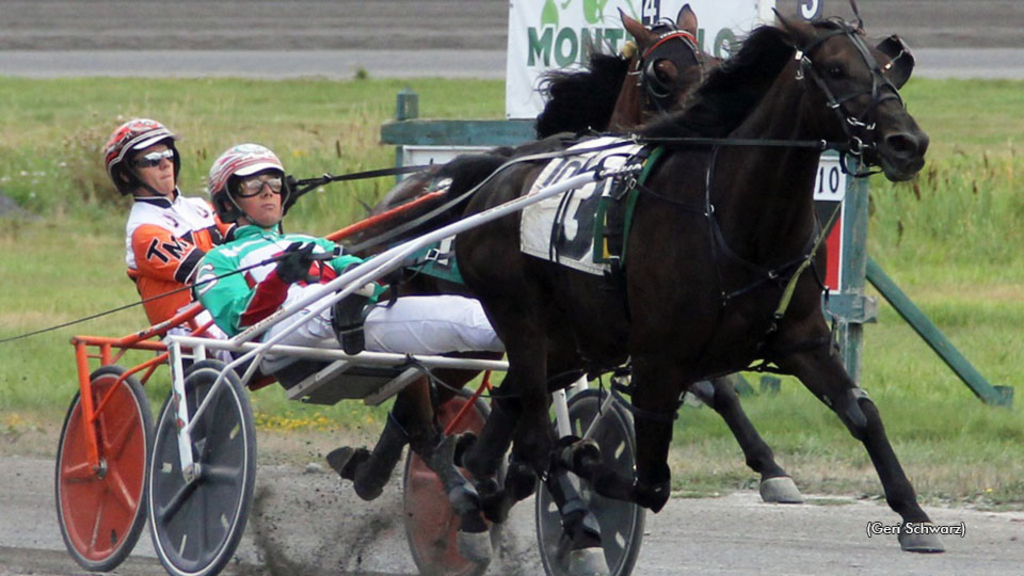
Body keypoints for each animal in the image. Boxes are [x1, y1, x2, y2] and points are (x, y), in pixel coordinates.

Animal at [452, 12, 937, 565]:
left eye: (885, 67)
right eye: (835, 69)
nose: (908, 143)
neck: (731, 217)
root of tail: (494, 179)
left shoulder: (803, 341)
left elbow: (864, 415)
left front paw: (913, 514)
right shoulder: (658, 361)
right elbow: (651, 483)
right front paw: (583, 460)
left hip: (571, 342)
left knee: (507, 419)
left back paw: (476, 490)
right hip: (523, 321)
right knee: (532, 434)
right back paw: (564, 510)